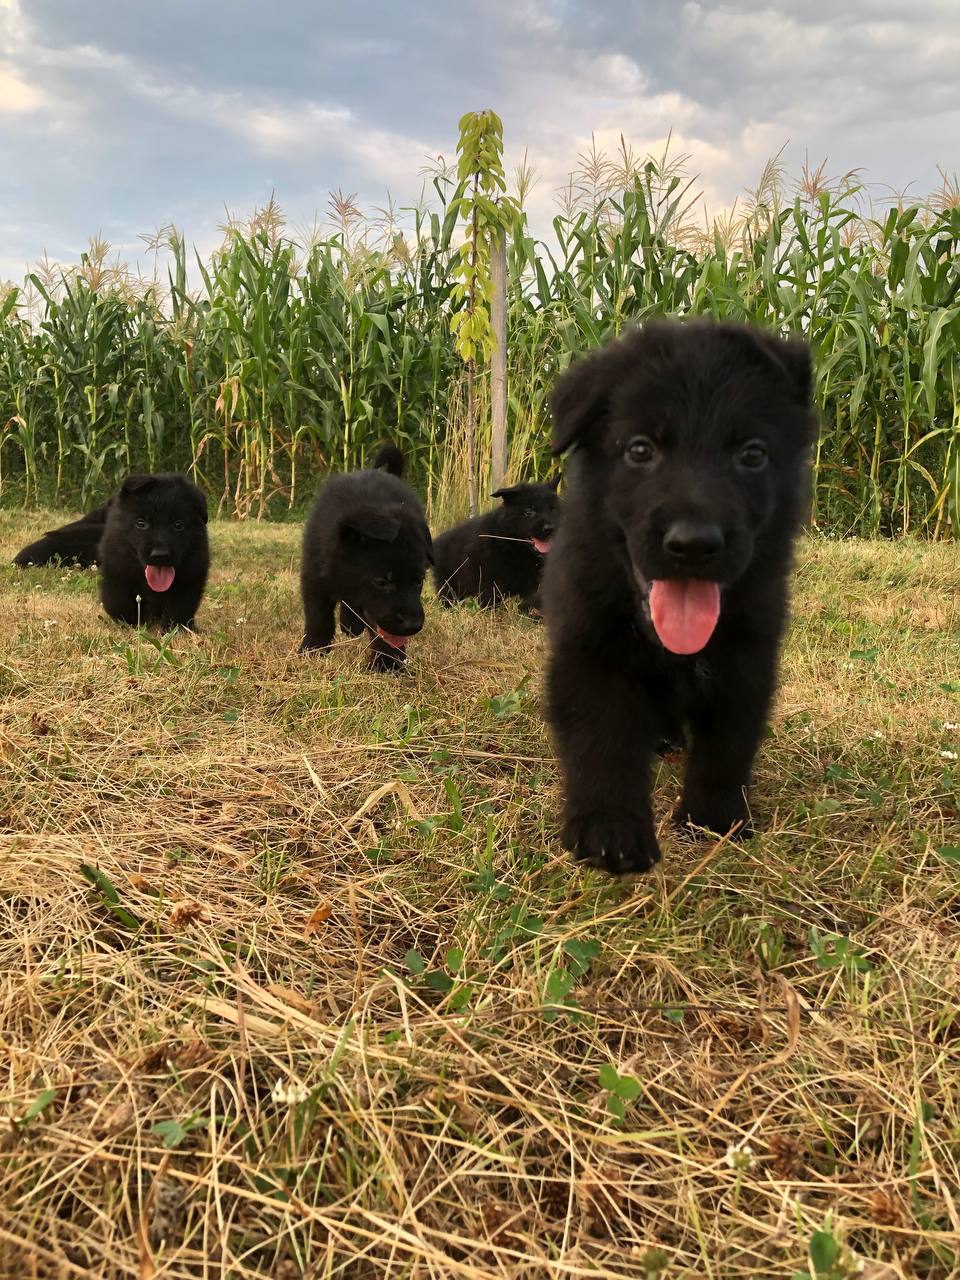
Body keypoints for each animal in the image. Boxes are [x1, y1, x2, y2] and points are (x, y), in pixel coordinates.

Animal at [98, 473, 209, 627]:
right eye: (141, 523)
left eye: (178, 525)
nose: (160, 555)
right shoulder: (116, 569)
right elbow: (117, 600)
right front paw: (131, 622)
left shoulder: (190, 577)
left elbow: (179, 608)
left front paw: (172, 628)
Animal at [432, 478, 560, 611]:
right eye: (529, 512)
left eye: (553, 509)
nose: (549, 528)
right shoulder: (488, 579)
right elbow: (491, 598)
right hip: (449, 584)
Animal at [545, 322, 814, 880]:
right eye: (640, 450)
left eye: (752, 454)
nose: (693, 544)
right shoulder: (590, 650)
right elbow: (602, 737)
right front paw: (609, 828)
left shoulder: (749, 656)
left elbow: (728, 742)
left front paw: (714, 818)